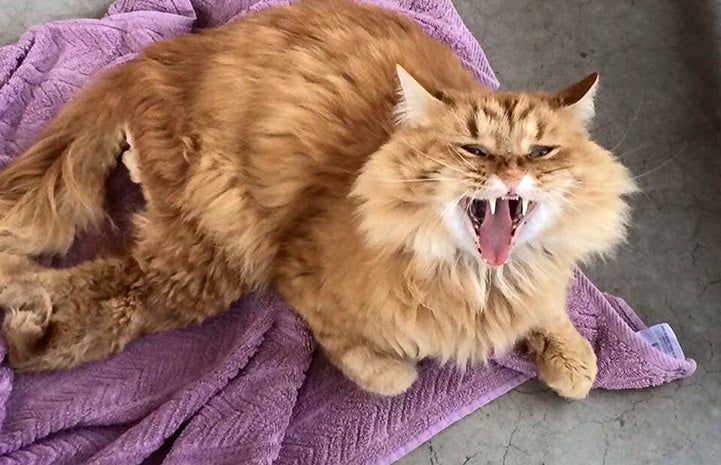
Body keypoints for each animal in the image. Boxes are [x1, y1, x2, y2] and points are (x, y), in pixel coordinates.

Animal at [0, 1, 632, 396]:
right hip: (219, 255)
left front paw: (569, 356)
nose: (512, 175)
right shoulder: (298, 272)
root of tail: (166, 54)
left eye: (541, 152)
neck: (481, 283)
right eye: (473, 149)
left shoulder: (540, 286)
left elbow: (566, 341)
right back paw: (26, 325)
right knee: (95, 290)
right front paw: (401, 364)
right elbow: (391, 375)